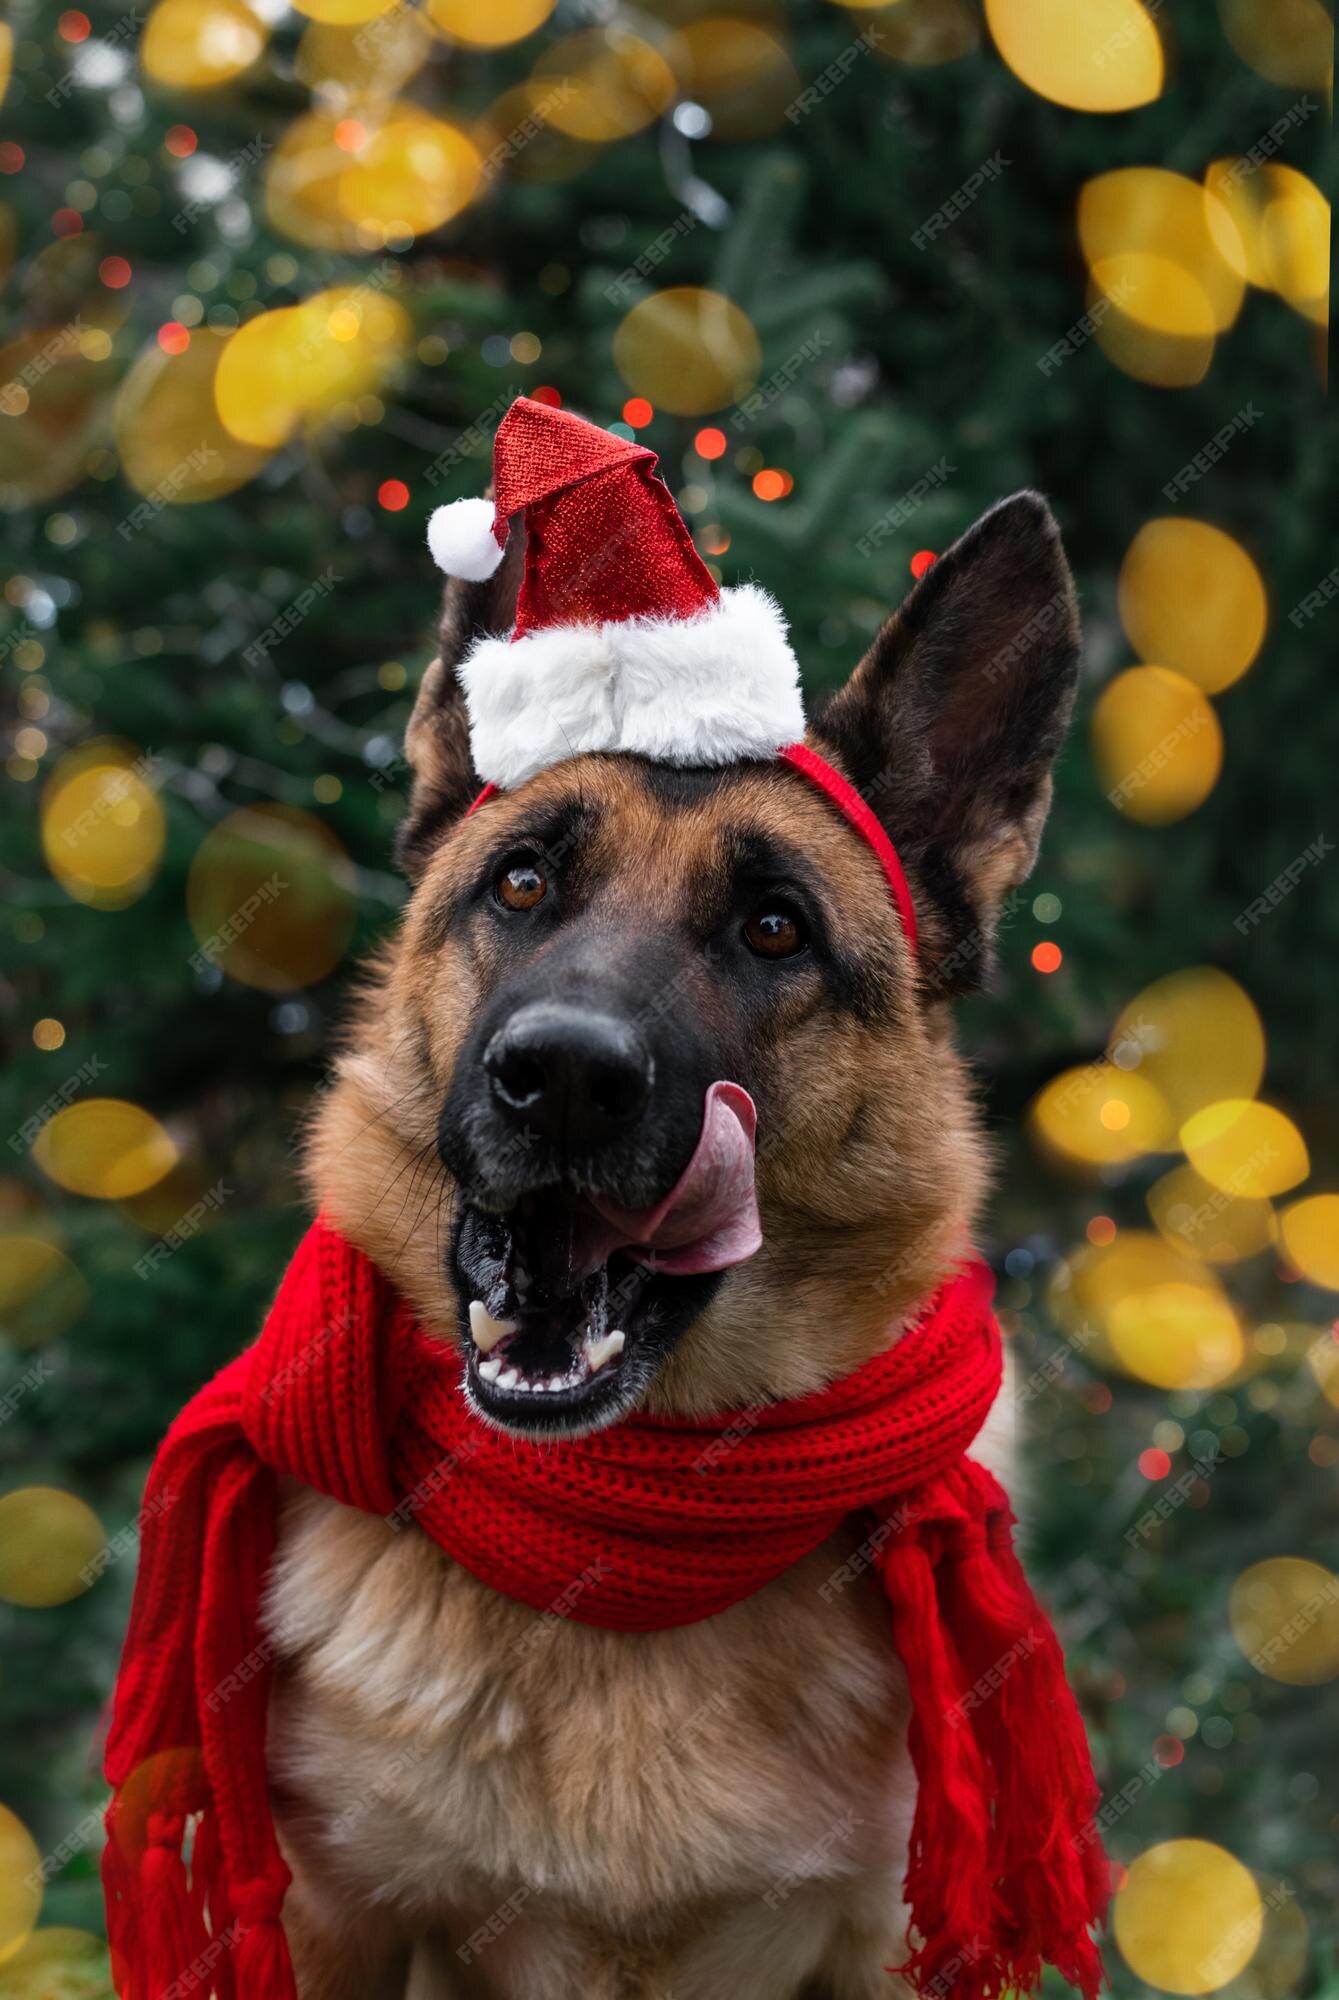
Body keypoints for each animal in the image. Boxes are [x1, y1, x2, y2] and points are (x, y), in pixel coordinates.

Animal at [267, 488, 1087, 2000]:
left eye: (773, 928)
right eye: (521, 882)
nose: (561, 1078)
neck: (627, 1527)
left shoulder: (891, 1940)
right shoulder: (327, 1918)